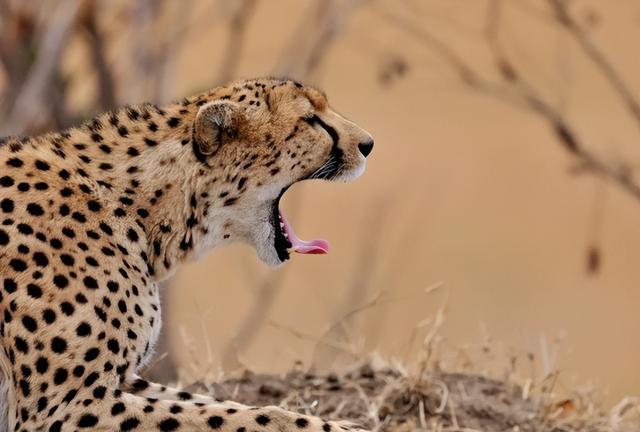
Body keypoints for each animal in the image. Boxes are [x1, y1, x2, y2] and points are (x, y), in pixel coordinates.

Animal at [0, 78, 376, 432]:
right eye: (311, 120)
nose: (368, 144)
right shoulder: (63, 408)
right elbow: (255, 416)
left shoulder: (123, 381)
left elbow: (223, 405)